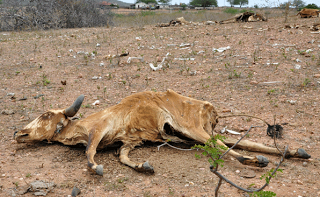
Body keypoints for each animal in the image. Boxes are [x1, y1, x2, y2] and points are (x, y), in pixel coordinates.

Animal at [13, 89, 310, 175]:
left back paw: (254, 161)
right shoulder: (128, 142)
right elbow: (123, 157)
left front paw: (96, 168)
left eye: (45, 115)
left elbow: (89, 152)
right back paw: (294, 152)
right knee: (238, 142)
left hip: (190, 129)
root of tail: (211, 108)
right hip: (191, 134)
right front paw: (143, 167)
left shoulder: (99, 130)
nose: (18, 132)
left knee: (223, 147)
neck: (78, 127)